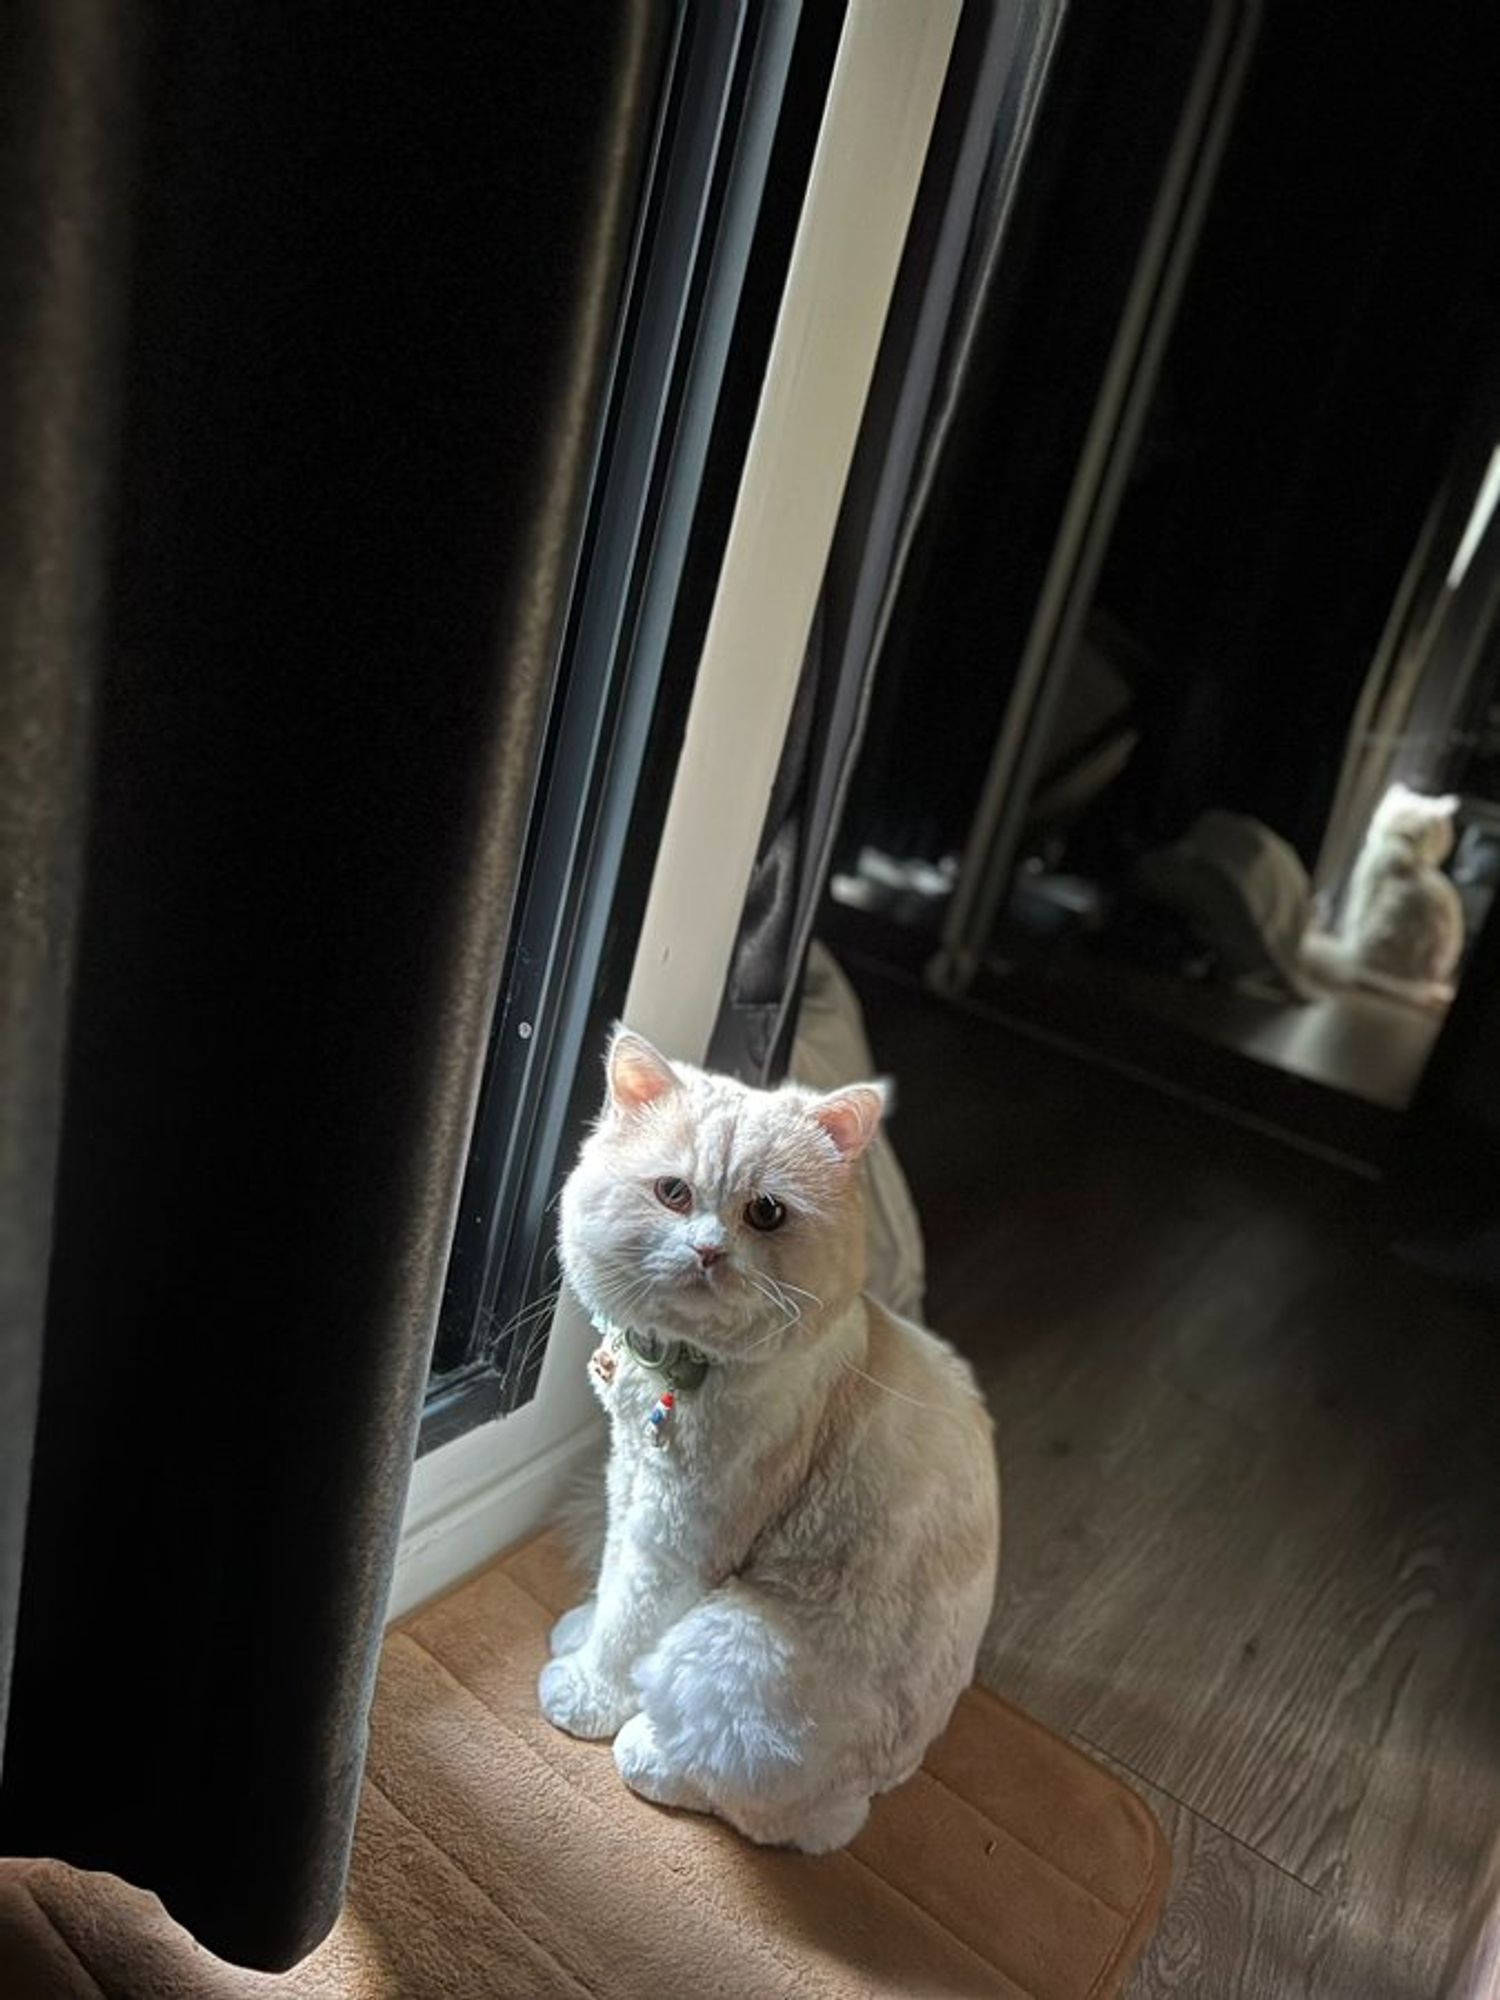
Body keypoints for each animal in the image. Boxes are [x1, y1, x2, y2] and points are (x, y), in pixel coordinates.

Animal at [536, 1032, 1004, 1856]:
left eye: (766, 1213)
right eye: (674, 1194)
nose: (709, 1252)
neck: (682, 1366)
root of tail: (881, 1787)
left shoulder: (681, 1531)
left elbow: (629, 1620)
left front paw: (586, 1692)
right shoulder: (630, 1481)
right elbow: (609, 1580)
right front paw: (580, 1633)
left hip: (729, 1645)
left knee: (754, 1805)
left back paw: (645, 1750)